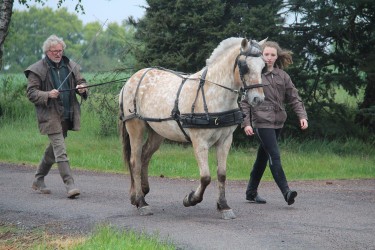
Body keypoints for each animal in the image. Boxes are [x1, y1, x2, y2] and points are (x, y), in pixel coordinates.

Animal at [119, 36, 266, 219]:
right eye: (245, 66)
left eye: (263, 67)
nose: (258, 99)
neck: (213, 92)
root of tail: (131, 79)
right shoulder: (199, 141)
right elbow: (206, 177)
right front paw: (190, 199)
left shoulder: (225, 140)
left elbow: (221, 174)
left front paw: (224, 206)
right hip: (135, 127)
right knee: (135, 161)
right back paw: (141, 202)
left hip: (157, 131)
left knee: (145, 156)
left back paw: (141, 193)